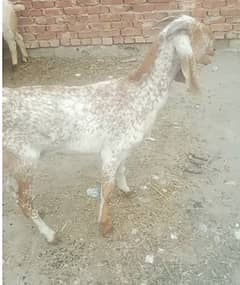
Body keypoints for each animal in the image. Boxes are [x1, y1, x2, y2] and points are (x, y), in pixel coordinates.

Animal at [2, 15, 215, 242]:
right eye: (203, 32)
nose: (214, 50)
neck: (139, 93)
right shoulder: (111, 151)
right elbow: (107, 188)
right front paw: (105, 226)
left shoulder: (124, 148)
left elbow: (122, 170)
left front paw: (126, 190)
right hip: (25, 159)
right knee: (24, 201)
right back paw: (50, 234)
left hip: (15, 160)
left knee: (13, 189)